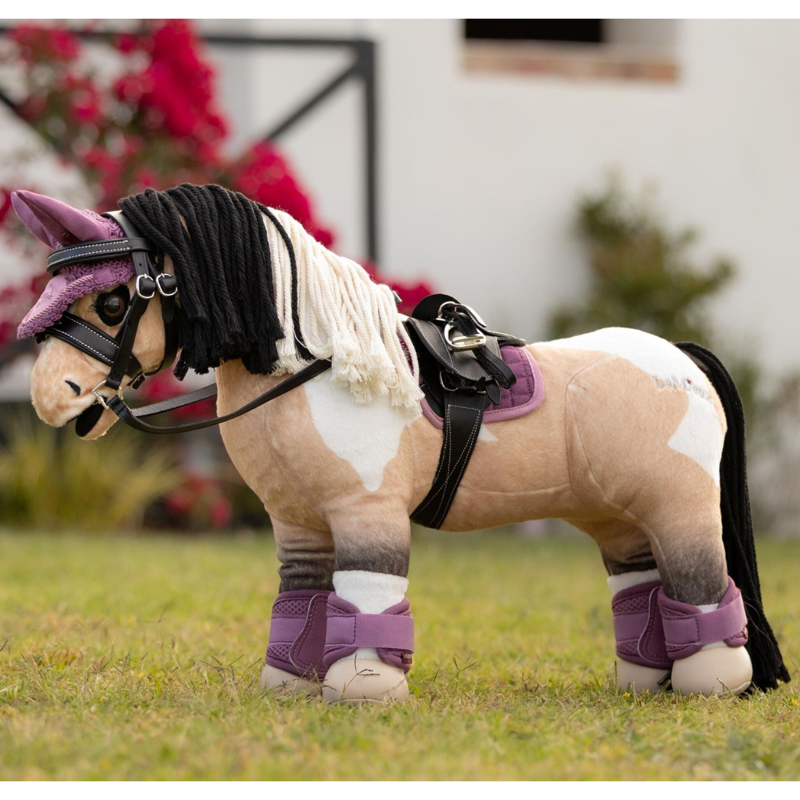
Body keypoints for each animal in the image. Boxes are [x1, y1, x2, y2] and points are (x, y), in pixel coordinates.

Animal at [9, 185, 789, 704]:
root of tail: (683, 359)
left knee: (703, 585)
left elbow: (368, 598)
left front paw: (363, 688)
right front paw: (289, 684)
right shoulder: (299, 523)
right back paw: (641, 682)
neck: (317, 366)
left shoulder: (367, 512)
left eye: (114, 300)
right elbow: (302, 605)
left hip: (679, 508)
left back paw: (711, 682)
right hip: (619, 517)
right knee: (641, 588)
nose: (50, 396)